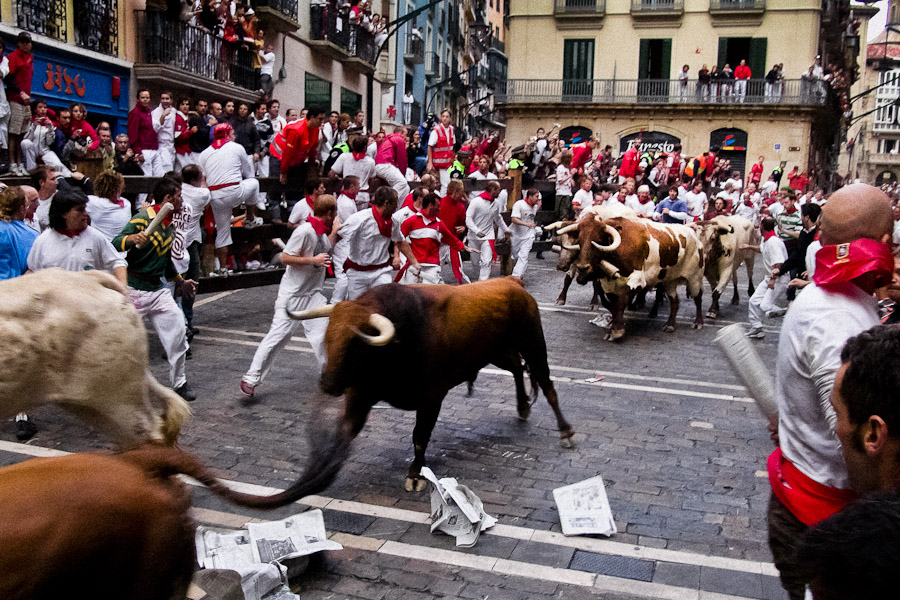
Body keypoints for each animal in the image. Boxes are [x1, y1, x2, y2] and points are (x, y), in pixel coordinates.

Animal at [282, 276, 572, 492]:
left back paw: (565, 431)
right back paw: (522, 406)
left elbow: (420, 437)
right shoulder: (362, 395)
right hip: (498, 352)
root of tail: (513, 282)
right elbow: (346, 430)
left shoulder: (432, 397)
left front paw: (415, 474)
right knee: (516, 368)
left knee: (547, 384)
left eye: (356, 343)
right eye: (328, 337)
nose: (328, 383)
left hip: (533, 344)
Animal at [568, 216, 708, 340]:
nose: (582, 268)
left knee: (698, 298)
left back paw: (698, 322)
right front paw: (613, 327)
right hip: (670, 281)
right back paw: (670, 325)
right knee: (675, 301)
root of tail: (694, 235)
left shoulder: (637, 281)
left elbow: (621, 303)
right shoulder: (608, 286)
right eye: (579, 241)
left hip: (695, 277)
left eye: (598, 241)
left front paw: (617, 330)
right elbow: (613, 305)